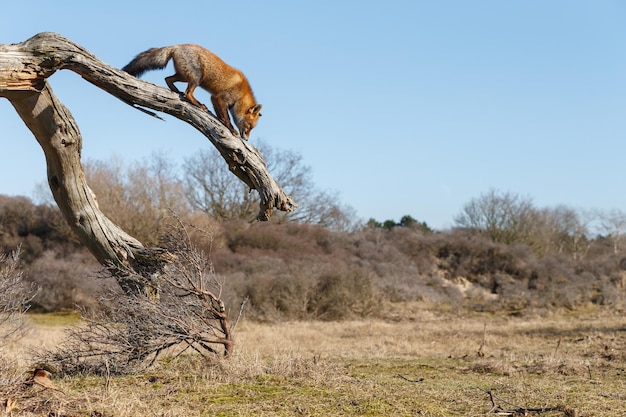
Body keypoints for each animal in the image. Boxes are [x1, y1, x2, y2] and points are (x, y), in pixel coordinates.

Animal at [123, 44, 262, 140]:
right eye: (249, 126)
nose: (246, 139)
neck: (240, 95)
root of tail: (177, 45)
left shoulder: (214, 98)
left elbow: (221, 116)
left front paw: (221, 122)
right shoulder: (220, 98)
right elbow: (227, 118)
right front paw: (231, 129)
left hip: (184, 76)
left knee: (168, 79)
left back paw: (177, 92)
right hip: (196, 78)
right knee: (188, 93)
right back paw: (197, 104)